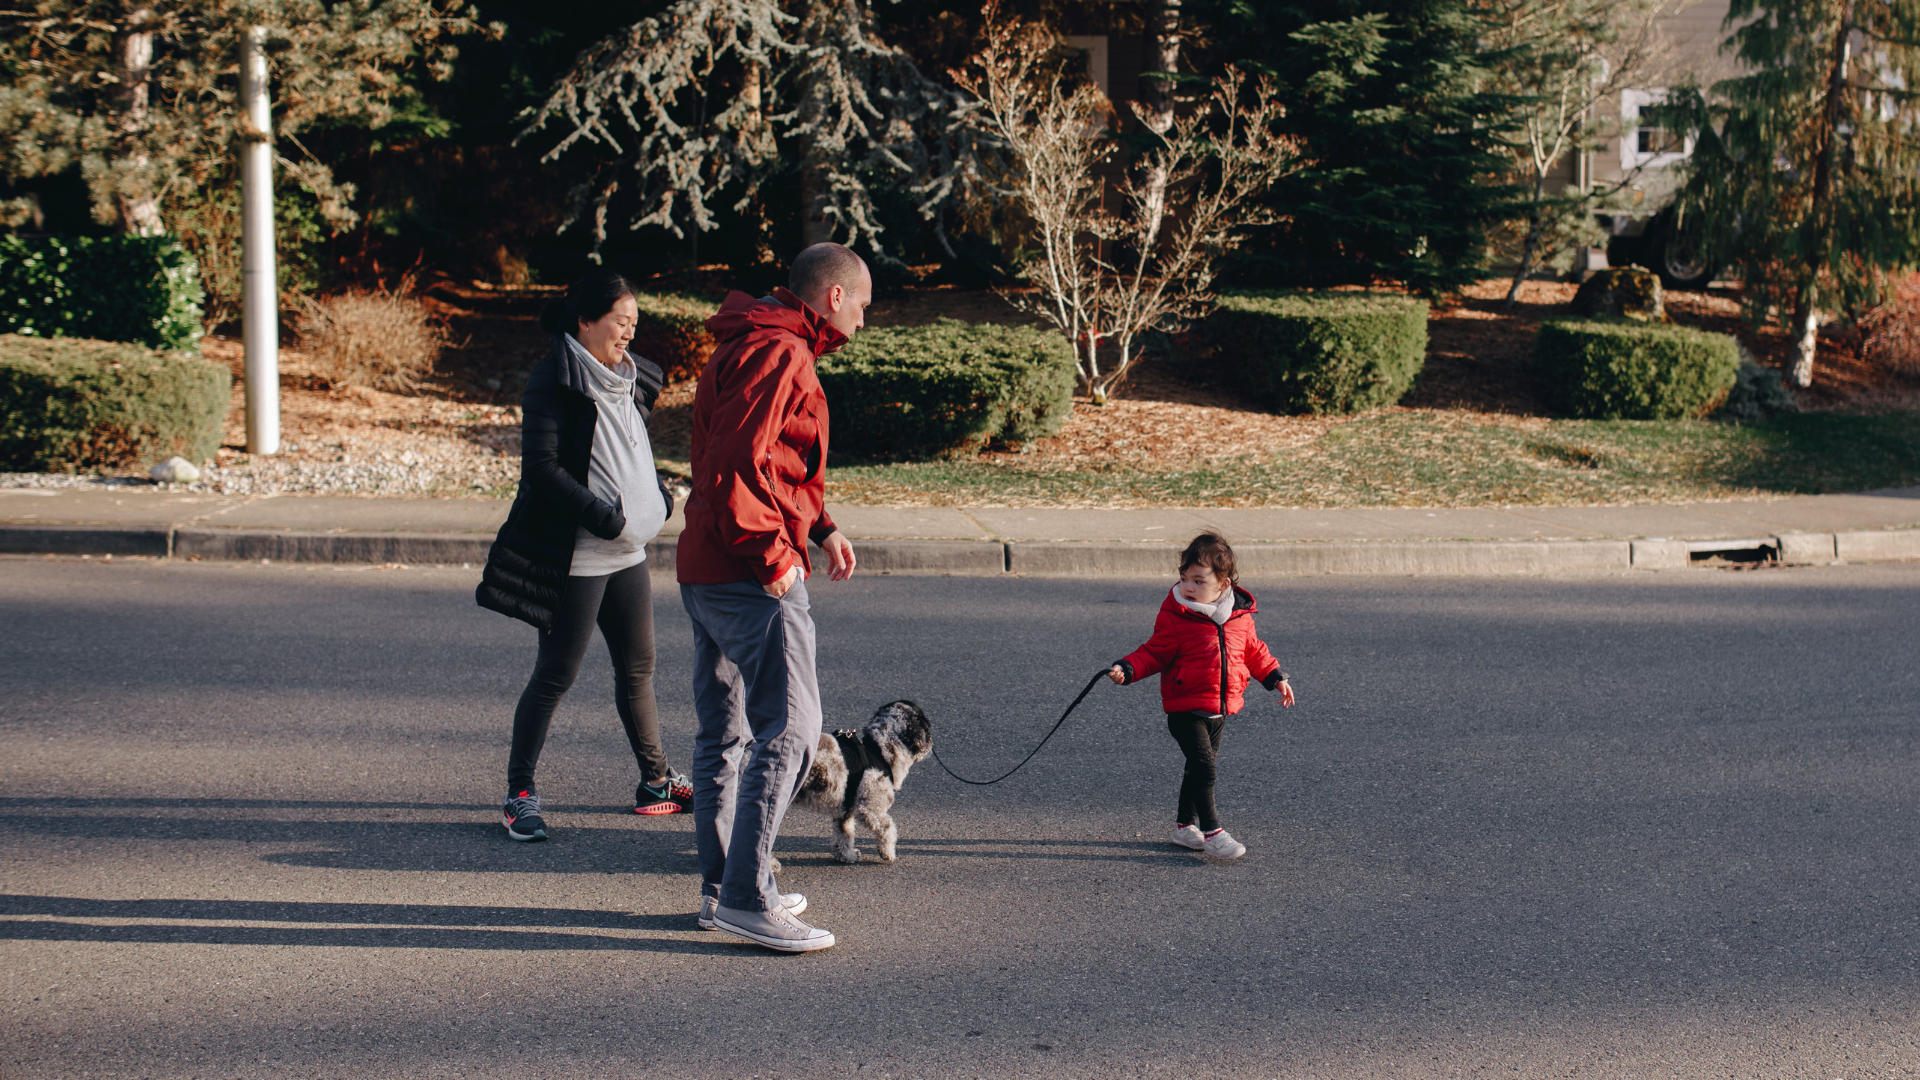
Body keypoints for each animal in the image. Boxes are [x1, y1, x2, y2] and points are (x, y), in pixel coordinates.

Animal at [791, 703, 933, 860]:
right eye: (927, 727)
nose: (932, 744)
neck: (879, 750)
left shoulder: (845, 811)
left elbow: (844, 836)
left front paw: (848, 855)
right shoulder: (870, 810)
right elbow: (887, 828)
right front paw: (888, 853)